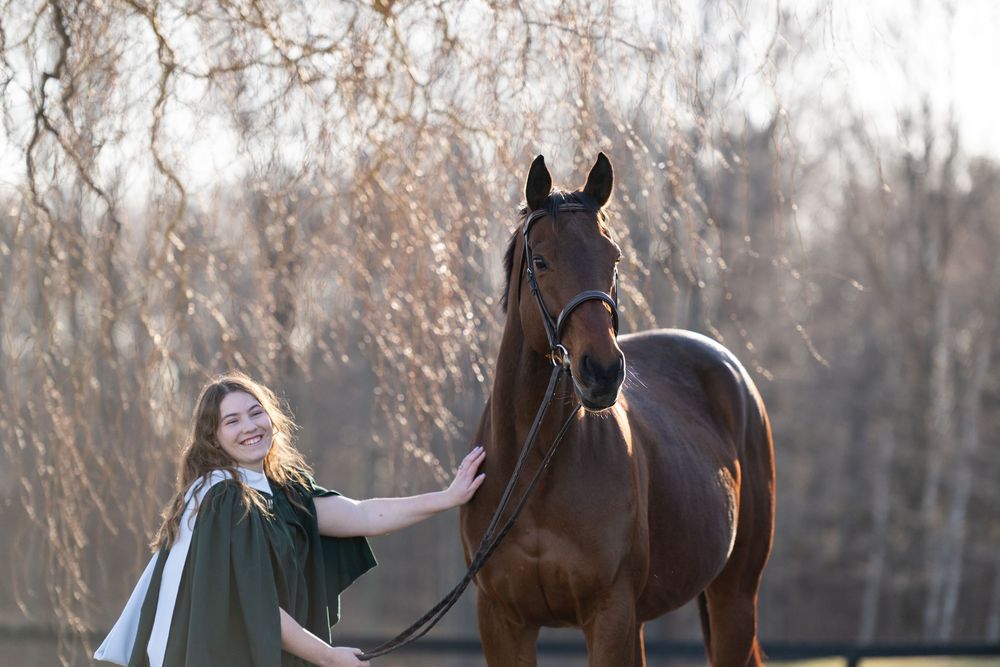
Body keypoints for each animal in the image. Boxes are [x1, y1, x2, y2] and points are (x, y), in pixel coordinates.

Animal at [459, 153, 775, 666]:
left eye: (614, 258)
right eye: (541, 260)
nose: (603, 371)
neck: (533, 471)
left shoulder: (609, 616)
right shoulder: (503, 621)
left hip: (734, 597)